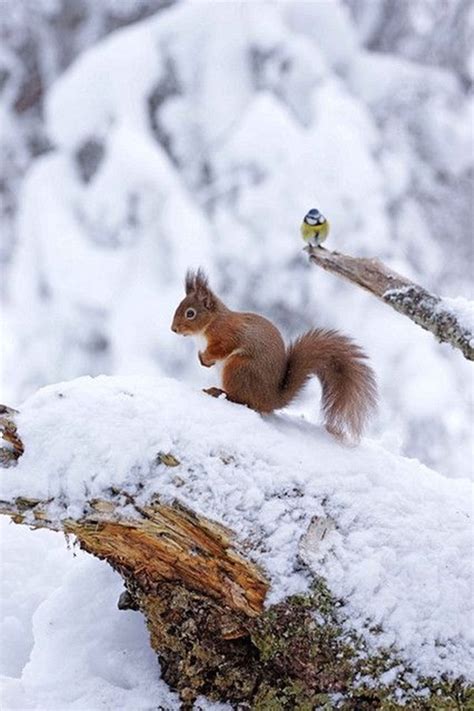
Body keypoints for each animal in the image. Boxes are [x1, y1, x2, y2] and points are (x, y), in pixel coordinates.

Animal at [171, 272, 378, 442]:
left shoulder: (228, 335)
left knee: (244, 401)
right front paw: (202, 359)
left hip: (238, 368)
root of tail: (271, 399)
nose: (173, 329)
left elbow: (222, 348)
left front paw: (206, 357)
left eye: (190, 313)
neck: (210, 324)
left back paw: (219, 392)